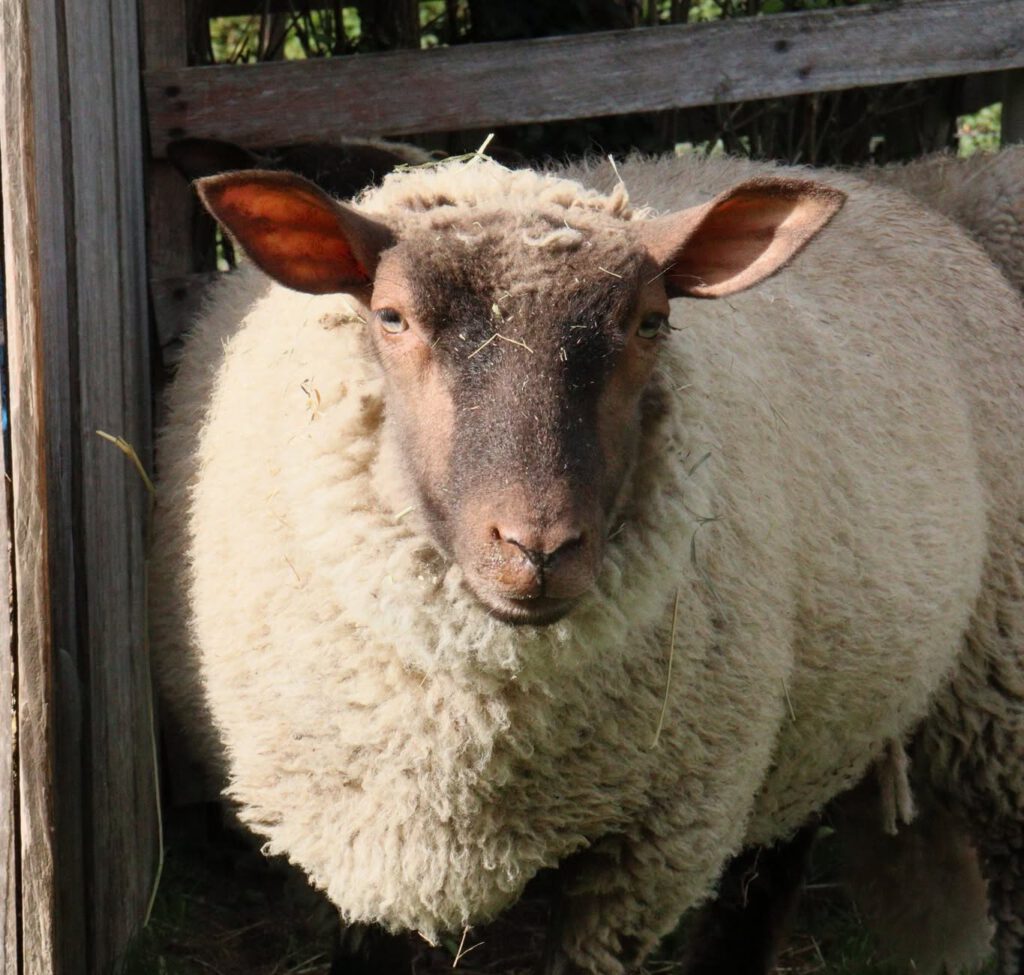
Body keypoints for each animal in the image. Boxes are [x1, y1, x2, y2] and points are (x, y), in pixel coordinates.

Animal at [150, 152, 1024, 975]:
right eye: (391, 316)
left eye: (651, 322)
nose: (537, 549)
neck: (483, 738)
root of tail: (902, 194)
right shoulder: (366, 839)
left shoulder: (648, 852)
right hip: (818, 706)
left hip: (985, 693)